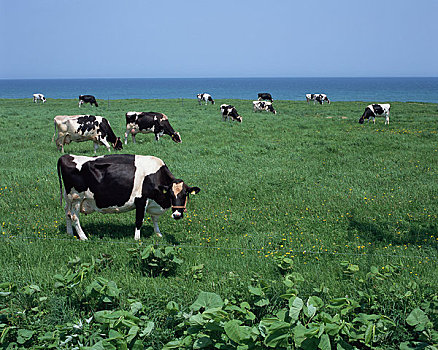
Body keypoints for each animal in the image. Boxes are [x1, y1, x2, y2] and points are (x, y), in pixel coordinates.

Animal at [57, 154, 201, 241]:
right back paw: (83, 237)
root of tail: (66, 156)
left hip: (69, 198)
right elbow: (139, 221)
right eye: (171, 194)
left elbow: (154, 219)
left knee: (67, 213)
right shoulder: (141, 200)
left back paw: (70, 233)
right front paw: (137, 239)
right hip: (77, 197)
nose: (177, 215)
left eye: (185, 194)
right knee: (74, 217)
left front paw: (158, 234)